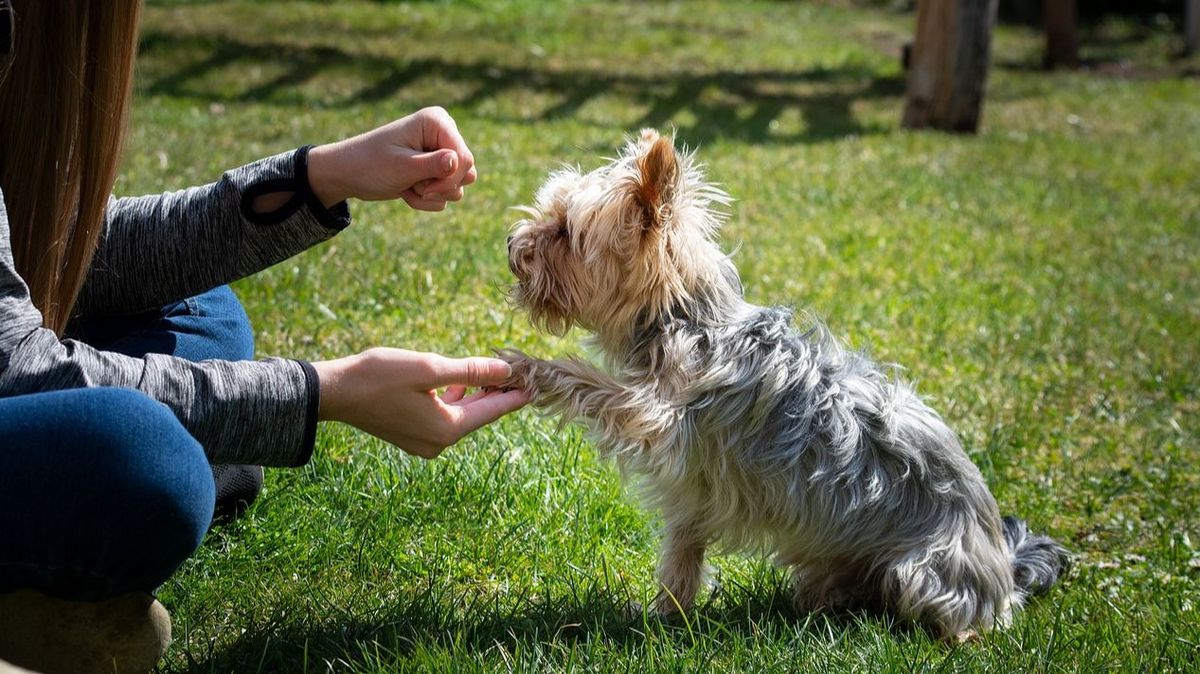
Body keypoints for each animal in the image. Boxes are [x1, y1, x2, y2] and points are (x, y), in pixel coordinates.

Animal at [499, 128, 1070, 638]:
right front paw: (666, 613)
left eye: (563, 231)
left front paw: (528, 367)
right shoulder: (694, 486)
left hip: (925, 572)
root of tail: (1005, 568)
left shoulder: (658, 415)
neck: (685, 319)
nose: (510, 244)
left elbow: (591, 383)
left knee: (958, 619)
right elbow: (684, 550)